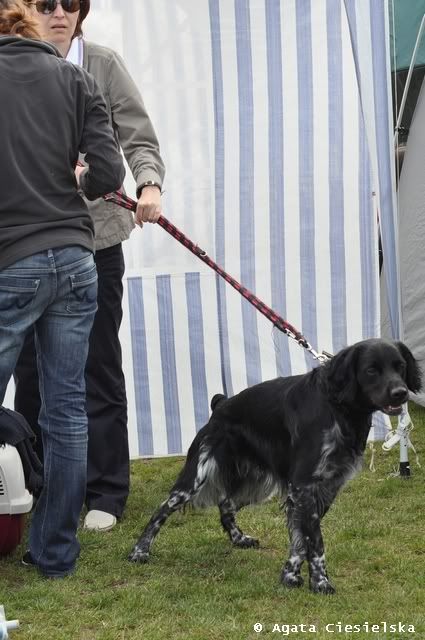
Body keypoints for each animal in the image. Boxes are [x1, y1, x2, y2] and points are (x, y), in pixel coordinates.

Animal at [128, 339, 421, 594]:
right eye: (371, 370)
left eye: (400, 367)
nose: (401, 393)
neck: (338, 408)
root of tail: (221, 405)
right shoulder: (304, 485)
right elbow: (315, 541)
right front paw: (321, 582)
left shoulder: (324, 487)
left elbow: (301, 538)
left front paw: (291, 575)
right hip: (197, 476)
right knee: (162, 510)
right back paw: (139, 551)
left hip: (256, 485)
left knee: (226, 504)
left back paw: (239, 538)